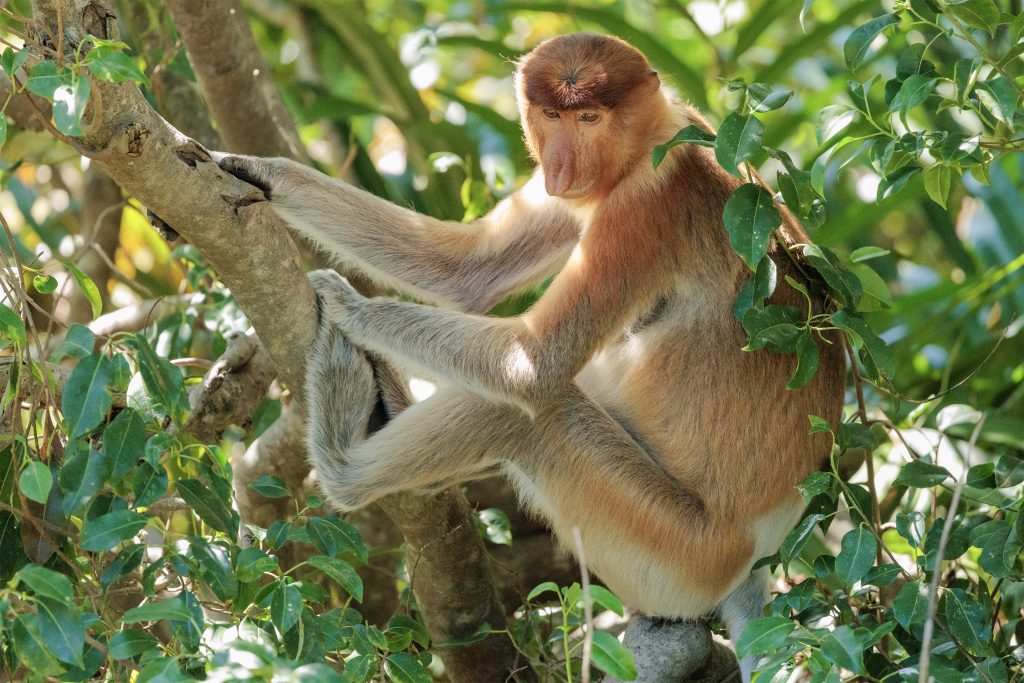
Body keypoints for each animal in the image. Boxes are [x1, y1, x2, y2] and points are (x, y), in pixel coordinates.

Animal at [218, 33, 844, 681]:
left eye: (589, 117)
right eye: (550, 115)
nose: (561, 168)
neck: (650, 140)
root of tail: (758, 553)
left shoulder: (646, 205)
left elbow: (533, 363)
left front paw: (350, 306)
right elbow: (468, 272)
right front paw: (248, 167)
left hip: (676, 554)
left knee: (528, 414)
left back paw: (344, 455)